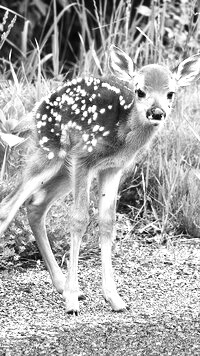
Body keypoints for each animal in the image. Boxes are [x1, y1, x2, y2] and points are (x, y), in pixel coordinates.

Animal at [0, 45, 200, 314]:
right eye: (140, 91)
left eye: (171, 93)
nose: (157, 112)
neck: (122, 134)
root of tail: (36, 109)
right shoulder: (84, 158)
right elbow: (79, 219)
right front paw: (72, 302)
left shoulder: (112, 169)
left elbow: (106, 223)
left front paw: (114, 298)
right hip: (51, 153)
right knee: (8, 205)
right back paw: (67, 289)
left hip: (65, 170)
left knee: (35, 205)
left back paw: (61, 284)